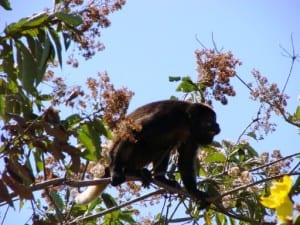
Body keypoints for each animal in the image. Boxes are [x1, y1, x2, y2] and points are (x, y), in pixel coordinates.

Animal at [75, 100, 220, 206]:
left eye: (214, 119)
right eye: (210, 120)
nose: (217, 125)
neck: (186, 123)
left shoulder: (191, 137)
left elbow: (186, 159)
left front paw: (195, 192)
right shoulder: (168, 117)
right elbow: (133, 131)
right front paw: (116, 171)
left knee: (164, 147)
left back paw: (160, 178)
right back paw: (128, 171)